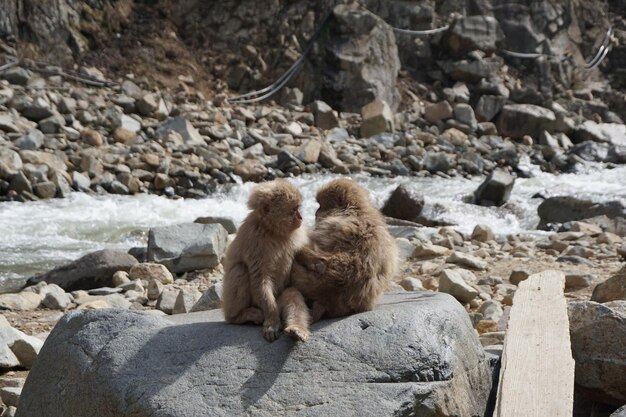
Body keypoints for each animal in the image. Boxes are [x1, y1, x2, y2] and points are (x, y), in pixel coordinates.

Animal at [221, 180, 306, 342]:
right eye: (294, 210)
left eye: (297, 208)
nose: (301, 218)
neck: (272, 231)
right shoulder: (253, 240)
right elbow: (260, 278)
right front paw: (272, 321)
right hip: (251, 304)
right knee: (240, 270)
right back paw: (238, 316)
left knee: (291, 293)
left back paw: (296, 329)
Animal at [280, 177, 398, 340]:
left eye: (321, 205)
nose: (316, 212)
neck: (356, 209)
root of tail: (328, 298)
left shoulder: (332, 223)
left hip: (304, 281)